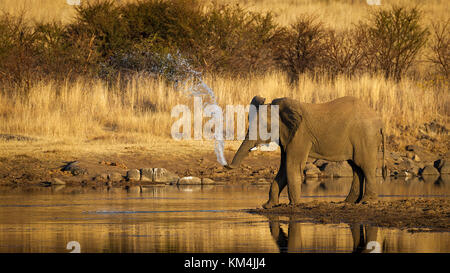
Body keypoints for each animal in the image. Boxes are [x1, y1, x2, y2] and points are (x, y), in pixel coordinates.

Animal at [225, 95, 386, 206]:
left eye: (264, 127)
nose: (226, 165)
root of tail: (379, 119)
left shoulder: (300, 135)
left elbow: (292, 165)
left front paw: (295, 204)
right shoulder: (287, 137)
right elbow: (284, 167)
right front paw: (268, 206)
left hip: (366, 136)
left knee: (365, 165)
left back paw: (367, 201)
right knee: (356, 167)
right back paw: (348, 202)